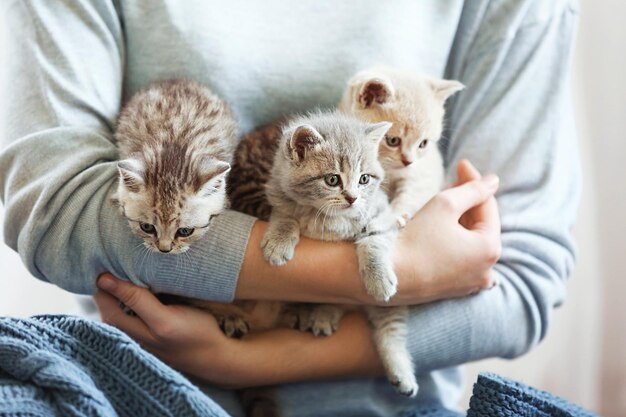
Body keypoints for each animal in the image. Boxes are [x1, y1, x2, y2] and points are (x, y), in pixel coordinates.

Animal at [260, 111, 416, 396]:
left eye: (364, 179)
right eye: (332, 179)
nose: (353, 198)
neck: (332, 218)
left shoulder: (383, 216)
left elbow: (373, 241)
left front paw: (377, 278)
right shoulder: (279, 198)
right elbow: (285, 216)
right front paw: (279, 242)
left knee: (389, 329)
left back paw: (401, 373)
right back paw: (323, 317)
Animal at [336, 66, 464, 226]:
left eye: (423, 143)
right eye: (393, 141)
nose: (408, 161)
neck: (389, 171)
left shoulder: (423, 173)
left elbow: (412, 193)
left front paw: (393, 216)